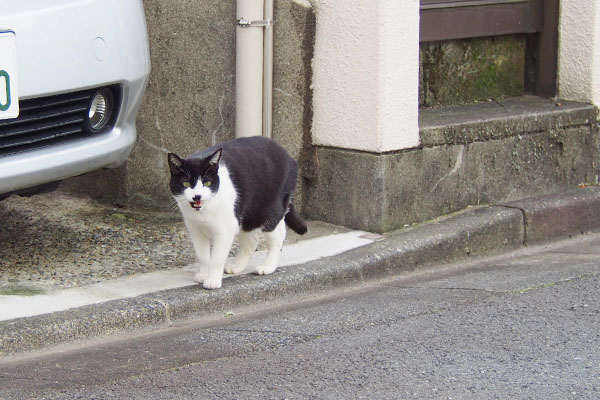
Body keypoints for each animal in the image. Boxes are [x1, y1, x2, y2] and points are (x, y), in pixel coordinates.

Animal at [169, 136, 310, 290]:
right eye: (186, 184)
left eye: (207, 183)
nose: (197, 196)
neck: (203, 212)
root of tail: (289, 157)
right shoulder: (196, 231)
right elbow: (203, 256)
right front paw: (203, 275)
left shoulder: (225, 230)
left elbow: (216, 258)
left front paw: (212, 280)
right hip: (248, 215)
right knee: (252, 240)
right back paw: (237, 266)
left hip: (267, 210)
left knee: (278, 234)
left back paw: (267, 267)